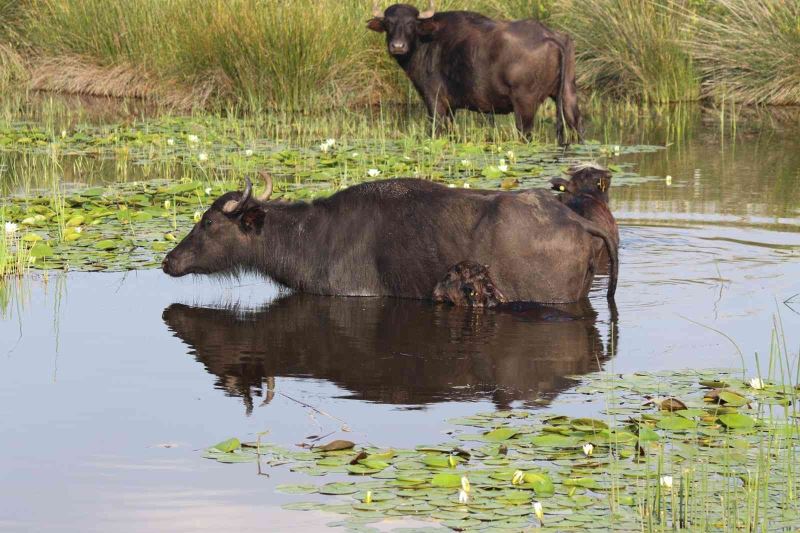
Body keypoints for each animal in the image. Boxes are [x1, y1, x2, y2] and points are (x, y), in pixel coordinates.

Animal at [368, 1, 580, 144]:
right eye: (388, 23)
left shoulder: (435, 100)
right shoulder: (451, 107)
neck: (426, 41)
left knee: (525, 134)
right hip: (568, 94)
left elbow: (436, 131)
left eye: (411, 24)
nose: (398, 46)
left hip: (525, 103)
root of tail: (549, 36)